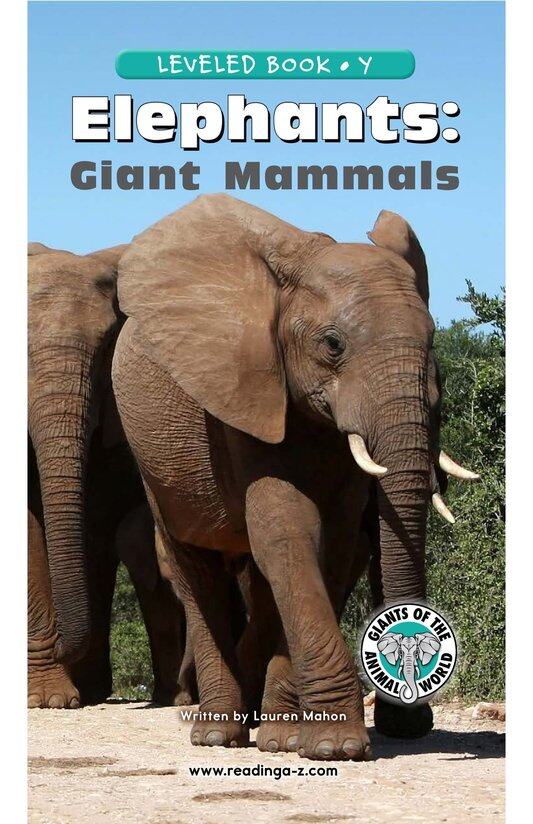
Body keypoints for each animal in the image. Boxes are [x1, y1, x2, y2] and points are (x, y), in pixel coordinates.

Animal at [111, 194, 479, 760]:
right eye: (332, 345)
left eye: (434, 340)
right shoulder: (244, 390)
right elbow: (287, 529)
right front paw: (335, 747)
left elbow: (330, 542)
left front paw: (292, 741)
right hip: (151, 458)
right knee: (195, 571)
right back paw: (215, 733)